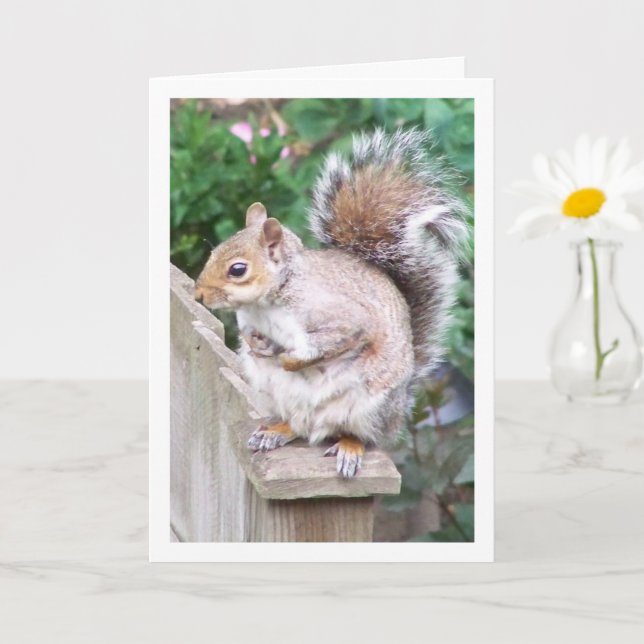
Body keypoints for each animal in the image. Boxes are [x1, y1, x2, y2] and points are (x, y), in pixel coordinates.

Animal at [194, 128, 469, 478]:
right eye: (214, 252)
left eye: (238, 269)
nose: (198, 295)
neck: (266, 303)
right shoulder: (250, 320)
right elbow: (252, 336)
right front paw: (259, 346)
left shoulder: (337, 316)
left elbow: (336, 340)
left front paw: (290, 361)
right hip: (275, 395)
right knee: (299, 427)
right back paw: (278, 431)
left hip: (370, 407)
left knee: (357, 434)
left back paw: (350, 447)